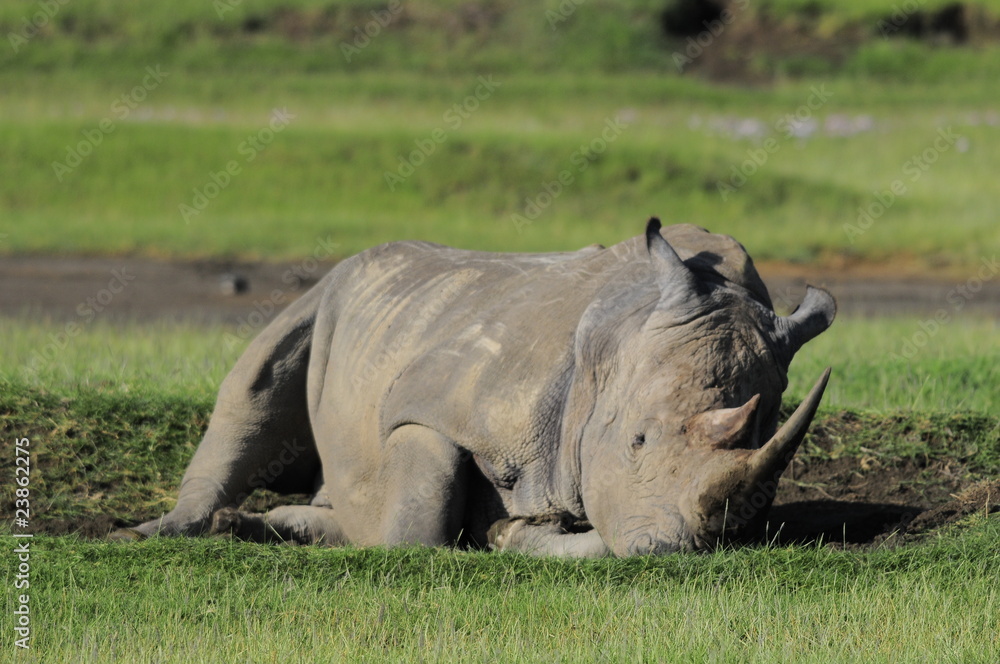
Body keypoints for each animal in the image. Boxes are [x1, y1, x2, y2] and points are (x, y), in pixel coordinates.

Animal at [116, 220, 836, 556]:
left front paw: (516, 533)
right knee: (257, 380)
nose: (677, 550)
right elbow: (420, 516)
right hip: (333, 290)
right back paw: (162, 532)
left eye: (768, 484)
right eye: (635, 441)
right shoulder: (432, 406)